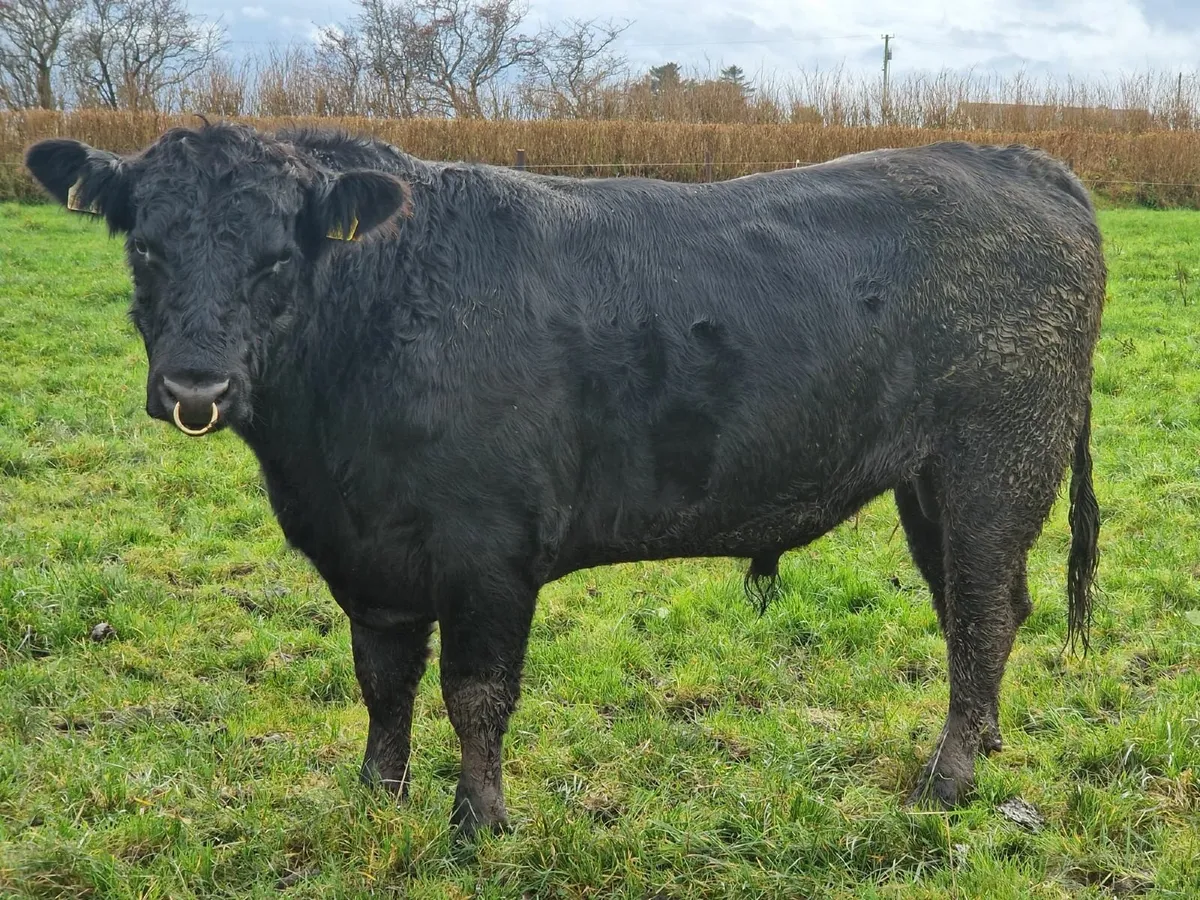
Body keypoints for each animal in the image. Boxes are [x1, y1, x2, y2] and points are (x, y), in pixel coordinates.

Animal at [25, 123, 1104, 840]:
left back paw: (946, 781)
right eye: (145, 245)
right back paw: (984, 747)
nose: (194, 386)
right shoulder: (369, 558)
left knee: (982, 613)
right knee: (982, 606)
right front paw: (377, 798)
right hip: (930, 484)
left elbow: (476, 693)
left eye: (277, 257)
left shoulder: (488, 548)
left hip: (994, 461)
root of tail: (1022, 161)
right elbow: (383, 683)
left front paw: (478, 824)